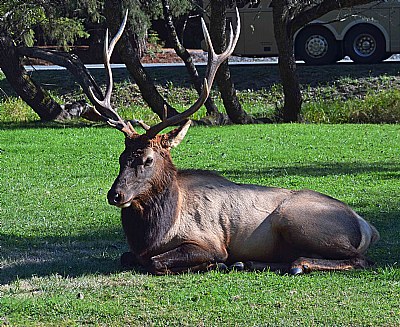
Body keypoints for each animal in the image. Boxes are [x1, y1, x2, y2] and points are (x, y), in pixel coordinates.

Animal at [92, 10, 380, 276]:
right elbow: (127, 257)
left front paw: (212, 264)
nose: (115, 194)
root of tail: (367, 226)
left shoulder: (210, 241)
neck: (156, 232)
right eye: (121, 157)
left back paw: (298, 264)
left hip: (296, 220)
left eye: (148, 159)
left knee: (361, 260)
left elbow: (156, 262)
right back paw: (248, 262)